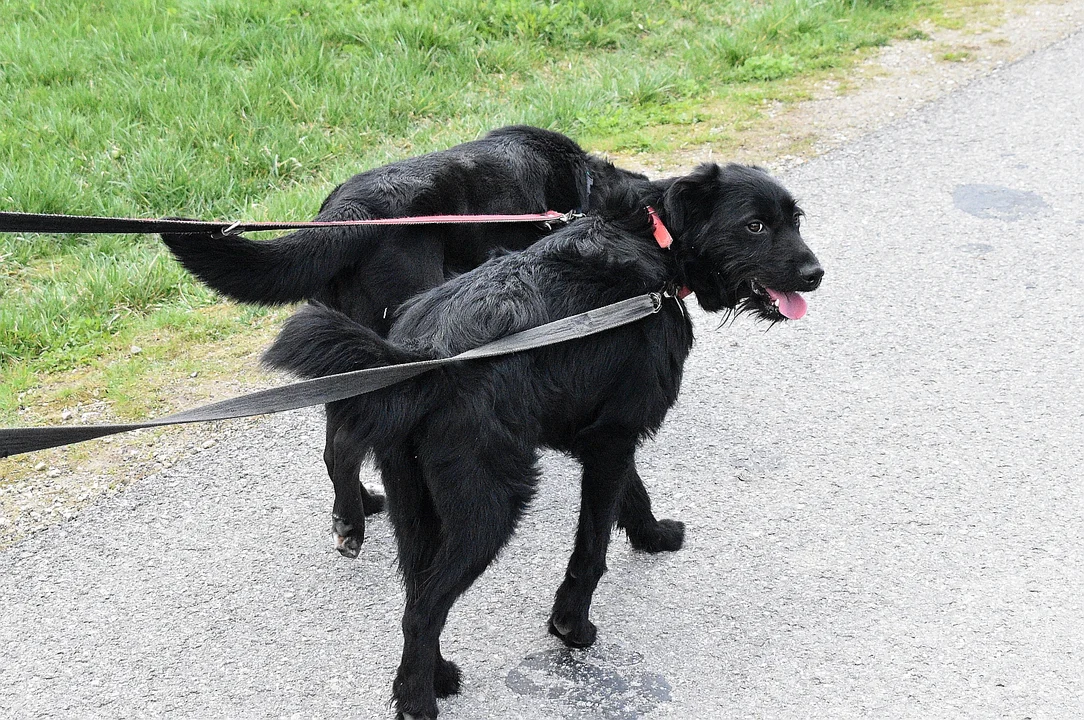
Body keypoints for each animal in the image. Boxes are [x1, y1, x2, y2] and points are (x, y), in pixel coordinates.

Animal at [161, 126, 680, 559]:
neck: (583, 188)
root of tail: (349, 214)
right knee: (348, 440)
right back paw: (351, 523)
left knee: (337, 437)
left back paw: (356, 507)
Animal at [262, 162, 819, 720]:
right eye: (754, 226)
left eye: (794, 220)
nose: (816, 274)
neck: (656, 244)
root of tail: (422, 354)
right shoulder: (612, 437)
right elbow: (592, 545)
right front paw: (571, 626)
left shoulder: (600, 431)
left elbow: (631, 494)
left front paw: (652, 535)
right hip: (489, 505)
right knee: (424, 608)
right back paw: (417, 700)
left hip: (414, 500)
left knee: (416, 592)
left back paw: (436, 676)